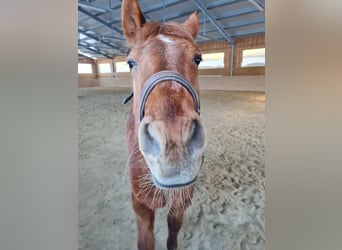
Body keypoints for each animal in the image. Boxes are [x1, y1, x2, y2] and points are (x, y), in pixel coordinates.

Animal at [122, 0, 207, 249]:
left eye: (198, 58)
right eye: (131, 62)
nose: (174, 143)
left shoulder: (181, 199)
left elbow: (173, 232)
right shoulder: (141, 207)